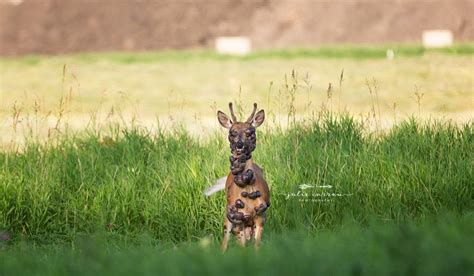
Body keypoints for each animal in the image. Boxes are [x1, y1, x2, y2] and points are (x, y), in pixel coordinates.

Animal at [204, 102, 270, 251]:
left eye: (250, 132)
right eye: (232, 132)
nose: (240, 145)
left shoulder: (260, 217)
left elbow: (257, 247)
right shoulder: (239, 218)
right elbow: (242, 247)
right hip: (228, 216)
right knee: (224, 242)